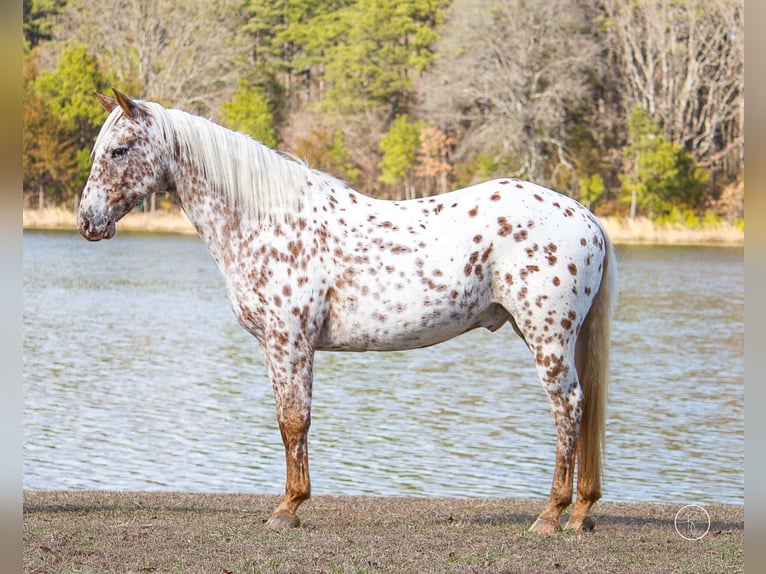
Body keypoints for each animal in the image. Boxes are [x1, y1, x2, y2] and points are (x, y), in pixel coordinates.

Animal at [78, 89, 616, 536]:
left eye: (120, 150)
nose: (87, 222)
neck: (269, 221)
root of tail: (585, 217)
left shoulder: (291, 340)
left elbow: (295, 420)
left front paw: (288, 509)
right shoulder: (272, 346)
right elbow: (285, 420)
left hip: (547, 338)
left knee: (568, 409)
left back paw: (550, 516)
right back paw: (581, 512)